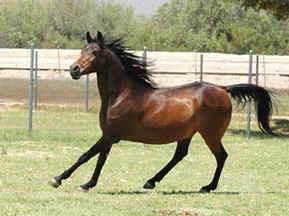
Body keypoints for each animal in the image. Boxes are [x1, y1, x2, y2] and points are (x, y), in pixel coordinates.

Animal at [48, 30, 274, 192]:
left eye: (95, 52)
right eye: (82, 50)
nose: (74, 70)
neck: (121, 95)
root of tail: (223, 88)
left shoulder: (110, 135)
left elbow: (87, 155)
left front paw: (61, 180)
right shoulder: (109, 135)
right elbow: (100, 158)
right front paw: (86, 182)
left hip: (210, 134)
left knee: (221, 156)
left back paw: (208, 187)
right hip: (187, 133)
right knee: (180, 155)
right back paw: (151, 181)